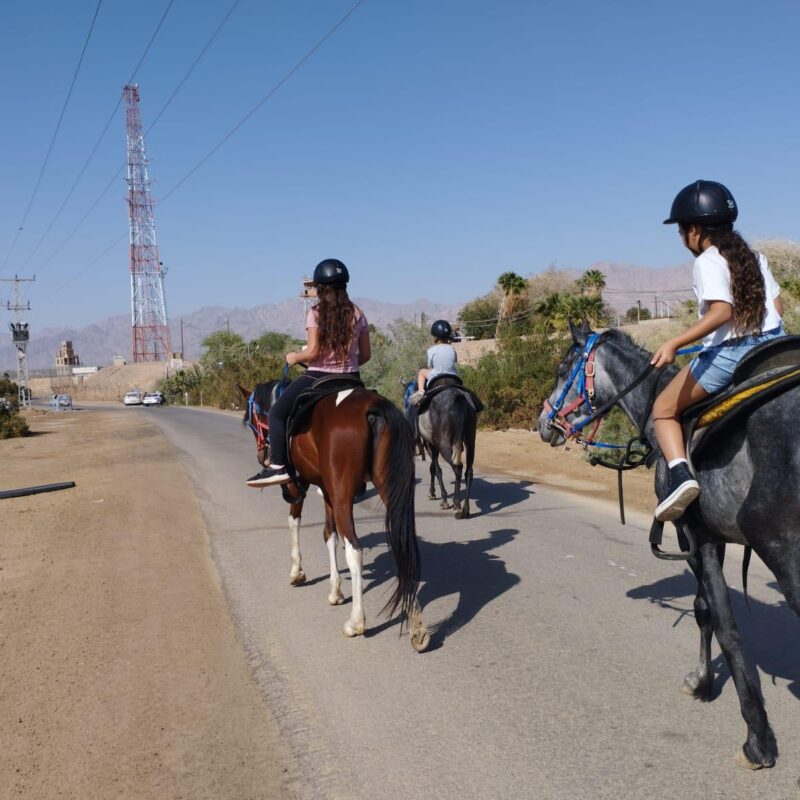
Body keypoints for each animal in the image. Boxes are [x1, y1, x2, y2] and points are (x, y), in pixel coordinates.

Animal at [241, 380, 432, 648]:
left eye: (251, 420)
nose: (262, 457)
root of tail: (373, 407)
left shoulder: (299, 485)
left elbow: (295, 522)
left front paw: (297, 572)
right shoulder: (327, 490)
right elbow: (329, 535)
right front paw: (335, 591)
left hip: (343, 495)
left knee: (354, 550)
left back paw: (356, 622)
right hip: (388, 487)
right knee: (402, 546)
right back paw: (417, 625)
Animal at [536, 322, 800, 772]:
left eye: (560, 370)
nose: (543, 422)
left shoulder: (693, 537)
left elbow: (715, 619)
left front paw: (752, 733)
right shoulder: (711, 539)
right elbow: (708, 611)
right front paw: (704, 681)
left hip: (782, 549)